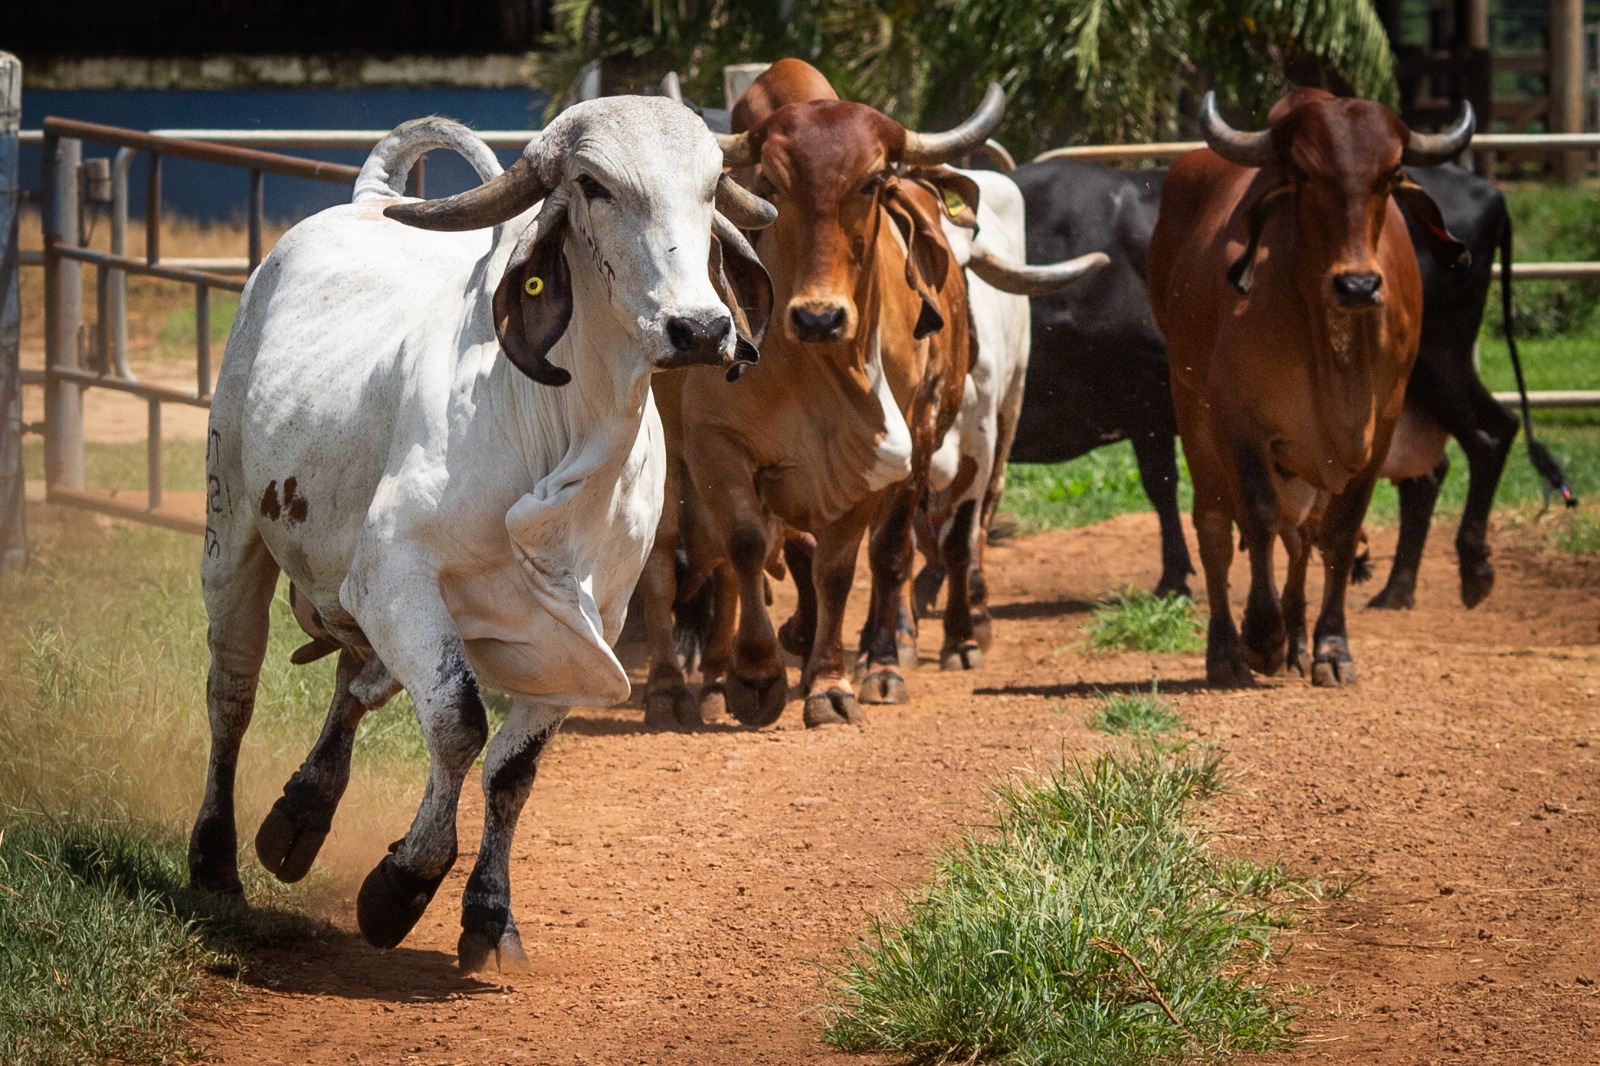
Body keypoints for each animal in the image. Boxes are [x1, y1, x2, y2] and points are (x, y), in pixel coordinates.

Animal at [187, 101, 774, 973]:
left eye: (710, 188)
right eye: (594, 185)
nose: (701, 328)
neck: (563, 429)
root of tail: (367, 199)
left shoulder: (589, 626)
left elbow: (512, 769)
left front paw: (490, 915)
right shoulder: (394, 577)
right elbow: (460, 722)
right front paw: (402, 884)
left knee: (358, 680)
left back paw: (302, 813)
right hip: (232, 536)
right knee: (232, 693)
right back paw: (216, 861)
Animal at [636, 60, 998, 729]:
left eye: (874, 181)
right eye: (772, 184)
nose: (819, 317)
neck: (816, 369)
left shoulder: (897, 451)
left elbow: (852, 564)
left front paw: (844, 678)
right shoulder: (716, 446)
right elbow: (747, 545)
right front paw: (756, 677)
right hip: (665, 456)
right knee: (664, 561)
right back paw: (674, 689)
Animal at [921, 167, 1107, 659]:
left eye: (961, 268)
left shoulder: (980, 440)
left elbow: (962, 534)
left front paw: (963, 635)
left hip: (1011, 406)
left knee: (982, 516)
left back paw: (977, 606)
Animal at [1011, 157, 1574, 605]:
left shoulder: (1148, 401)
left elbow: (1161, 487)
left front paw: (1173, 580)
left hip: (1439, 362)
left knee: (1490, 433)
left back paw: (1471, 566)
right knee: (1428, 473)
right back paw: (1396, 589)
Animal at [1152, 91, 1472, 688]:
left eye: (1391, 173)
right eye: (1304, 171)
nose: (1358, 285)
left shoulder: (1379, 427)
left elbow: (1340, 534)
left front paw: (1329, 648)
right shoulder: (1237, 419)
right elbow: (1256, 519)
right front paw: (1262, 637)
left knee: (1302, 536)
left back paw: (1297, 642)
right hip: (1195, 416)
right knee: (1216, 529)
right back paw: (1228, 652)